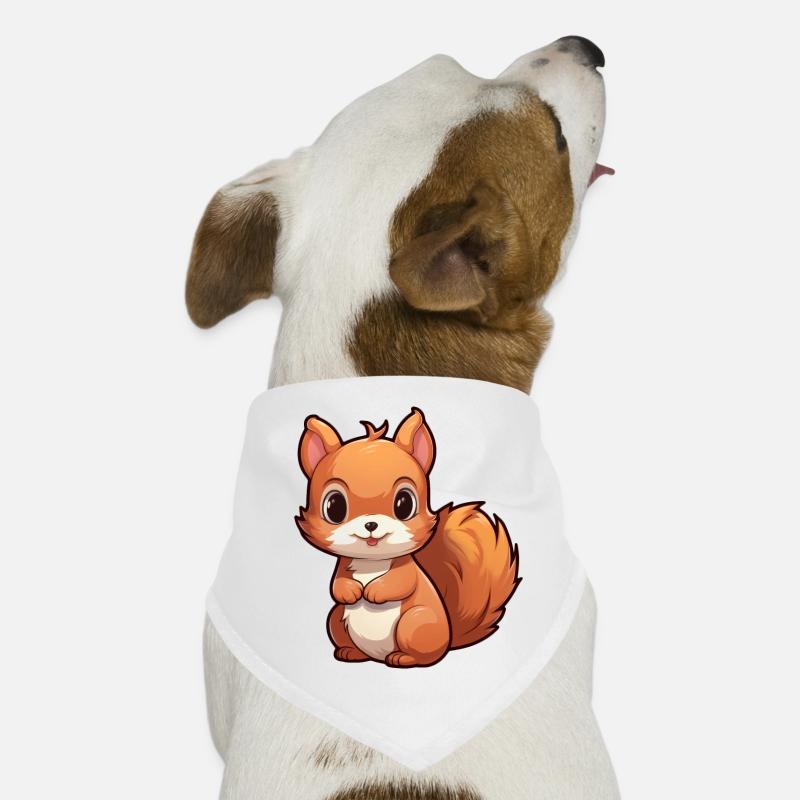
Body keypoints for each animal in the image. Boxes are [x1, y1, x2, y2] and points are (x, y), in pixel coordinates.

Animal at [295, 407, 520, 668]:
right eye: (334, 507)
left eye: (405, 504)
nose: (371, 524)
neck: (370, 563)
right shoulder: (344, 564)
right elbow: (337, 583)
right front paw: (351, 591)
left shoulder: (407, 569)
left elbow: (401, 582)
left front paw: (374, 592)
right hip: (337, 617)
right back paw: (351, 652)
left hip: (415, 622)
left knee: (427, 655)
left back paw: (402, 658)